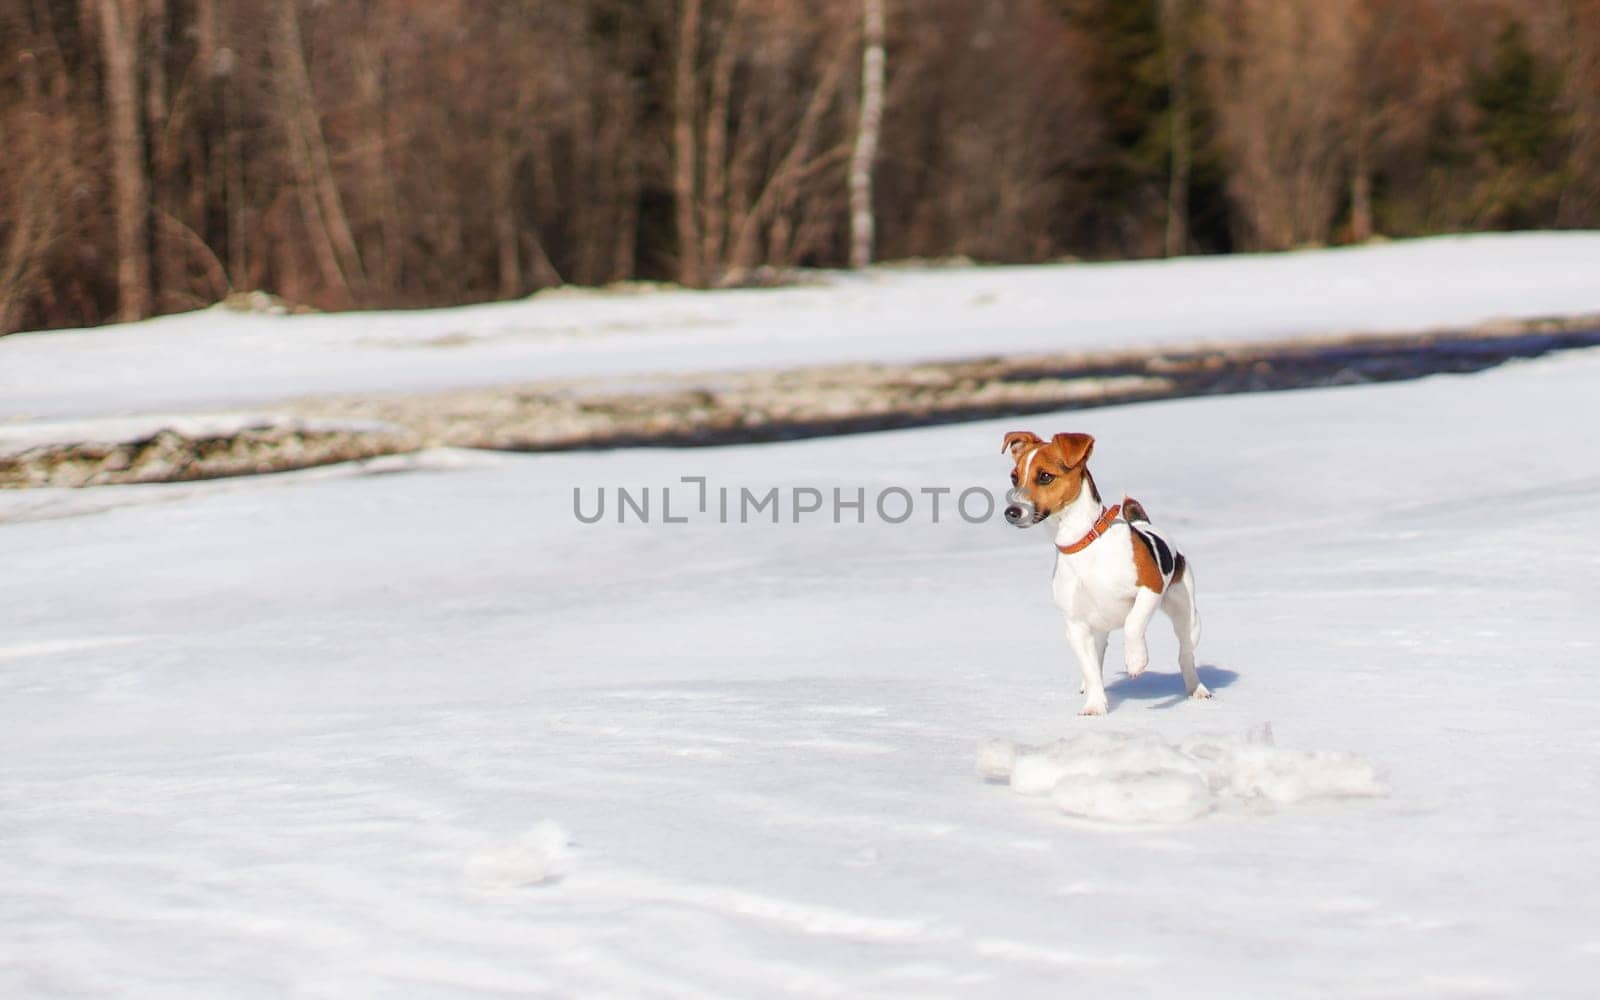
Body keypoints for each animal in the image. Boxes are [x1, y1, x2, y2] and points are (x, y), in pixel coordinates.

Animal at [998, 432, 1209, 713]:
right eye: (1014, 477)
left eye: (1045, 476)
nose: (1011, 512)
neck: (1083, 544)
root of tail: (1143, 523)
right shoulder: (1075, 626)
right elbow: (1090, 668)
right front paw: (1095, 707)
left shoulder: (1150, 588)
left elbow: (1133, 623)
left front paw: (1136, 659)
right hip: (1099, 631)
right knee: (1096, 661)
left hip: (1187, 616)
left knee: (1185, 654)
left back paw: (1197, 689)